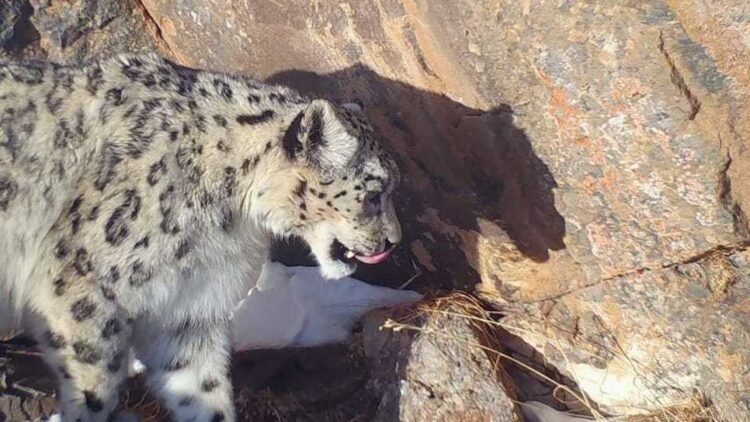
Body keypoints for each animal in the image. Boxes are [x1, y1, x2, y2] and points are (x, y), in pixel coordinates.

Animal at [0, 53, 401, 422]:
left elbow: (200, 387)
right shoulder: (81, 286)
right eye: (374, 194)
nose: (393, 241)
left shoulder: (186, 310)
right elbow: (94, 384)